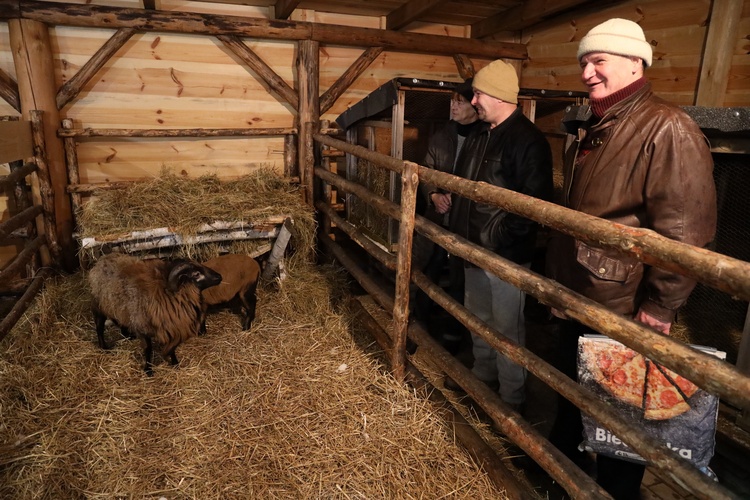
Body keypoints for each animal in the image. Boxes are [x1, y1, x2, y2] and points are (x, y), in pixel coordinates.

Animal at [88, 254, 222, 376]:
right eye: (196, 274)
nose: (219, 276)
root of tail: (101, 260)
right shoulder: (143, 329)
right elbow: (148, 349)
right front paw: (148, 370)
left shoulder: (171, 327)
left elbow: (172, 349)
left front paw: (175, 364)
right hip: (98, 306)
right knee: (99, 327)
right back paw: (104, 347)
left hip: (117, 308)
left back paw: (128, 335)